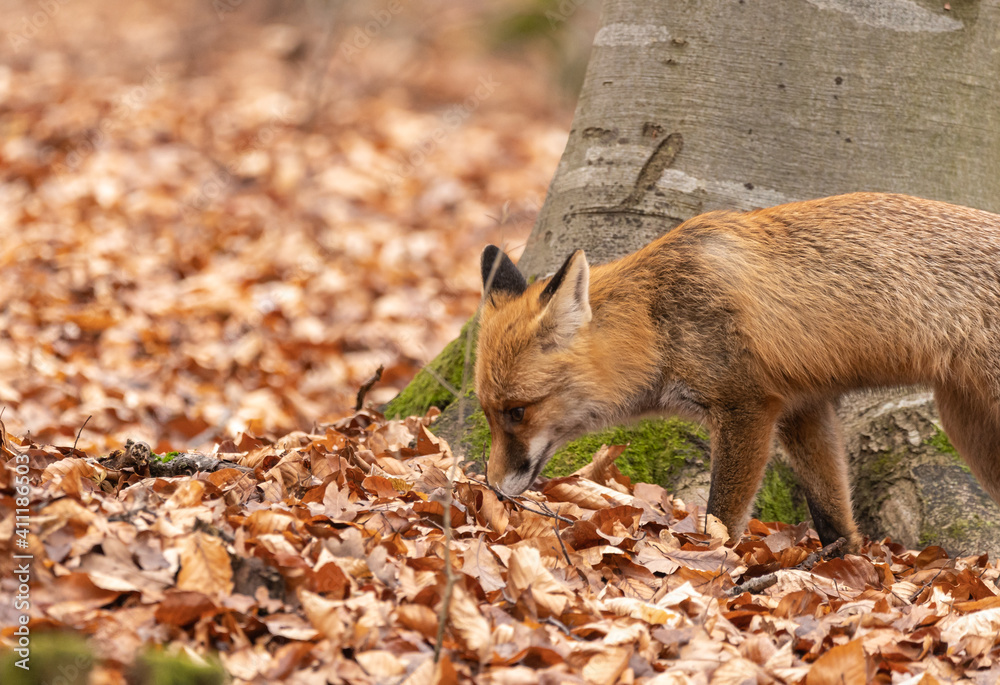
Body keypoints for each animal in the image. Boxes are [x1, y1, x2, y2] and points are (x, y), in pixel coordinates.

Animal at [474, 192, 1000, 552]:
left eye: (518, 411)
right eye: (488, 413)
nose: (491, 489)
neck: (656, 319)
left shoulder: (747, 407)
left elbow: (722, 517)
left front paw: (710, 564)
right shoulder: (804, 408)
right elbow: (832, 514)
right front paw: (847, 568)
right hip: (967, 427)